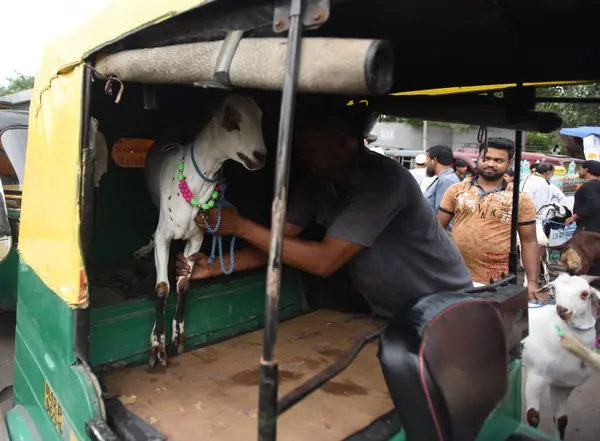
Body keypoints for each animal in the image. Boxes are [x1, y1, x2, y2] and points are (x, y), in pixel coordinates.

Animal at [144, 93, 266, 368]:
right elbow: (162, 288)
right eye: (231, 117)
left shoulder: (196, 237)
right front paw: (157, 347)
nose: (260, 155)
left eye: (260, 115)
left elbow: (183, 284)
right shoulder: (165, 235)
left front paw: (178, 336)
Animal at [520, 274, 600, 438]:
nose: (562, 309)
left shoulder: (562, 387)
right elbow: (533, 417)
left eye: (584, 293)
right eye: (554, 289)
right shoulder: (535, 378)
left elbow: (562, 420)